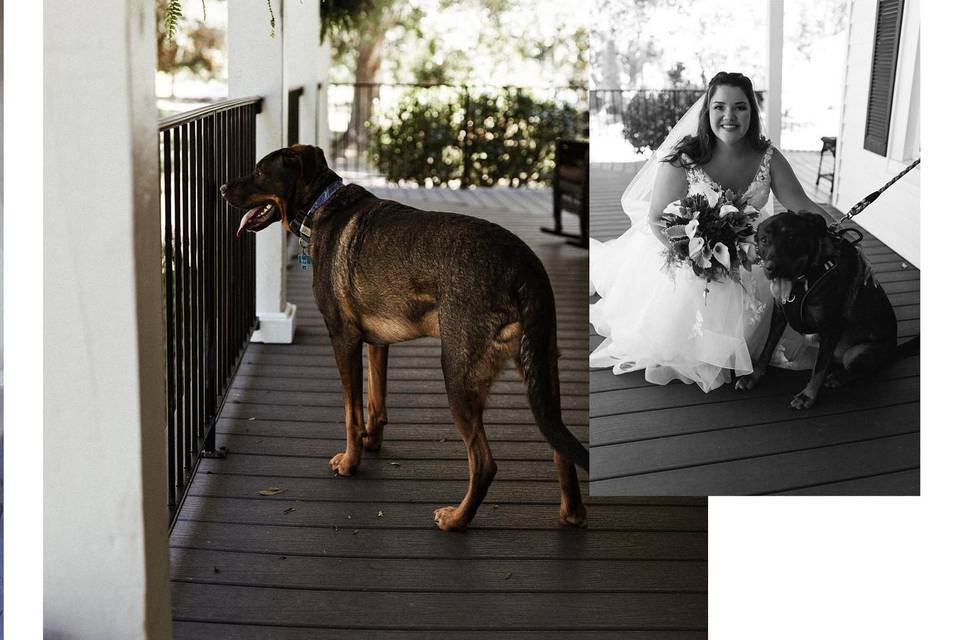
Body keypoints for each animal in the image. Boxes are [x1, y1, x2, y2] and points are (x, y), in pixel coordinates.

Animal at [222, 145, 588, 528]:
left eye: (260, 172)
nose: (221, 188)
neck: (322, 205)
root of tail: (524, 266)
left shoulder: (343, 338)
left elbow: (351, 412)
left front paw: (350, 462)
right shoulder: (376, 342)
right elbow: (375, 401)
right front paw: (372, 442)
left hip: (458, 373)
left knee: (484, 463)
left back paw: (456, 519)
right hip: (540, 368)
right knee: (560, 444)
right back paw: (572, 513)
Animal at [736, 212, 900, 408]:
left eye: (791, 238)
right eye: (763, 239)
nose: (772, 268)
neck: (805, 280)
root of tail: (895, 350)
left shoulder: (831, 328)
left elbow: (819, 368)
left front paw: (808, 396)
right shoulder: (779, 316)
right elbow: (767, 349)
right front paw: (753, 377)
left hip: (855, 353)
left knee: (862, 371)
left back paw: (838, 378)